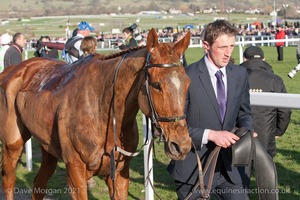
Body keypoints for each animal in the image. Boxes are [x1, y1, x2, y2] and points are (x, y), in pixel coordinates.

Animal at [0, 28, 191, 200]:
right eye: (157, 85)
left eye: (187, 83)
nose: (182, 146)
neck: (102, 109)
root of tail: (13, 70)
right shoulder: (75, 170)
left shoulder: (119, 173)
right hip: (12, 145)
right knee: (8, 180)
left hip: (48, 148)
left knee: (38, 184)